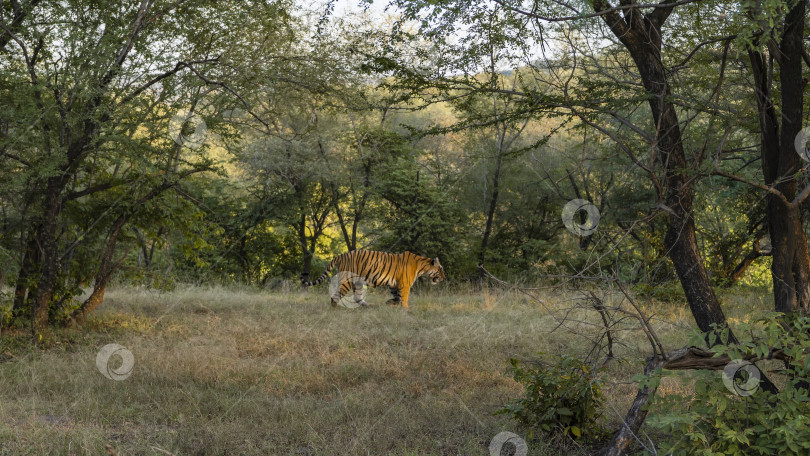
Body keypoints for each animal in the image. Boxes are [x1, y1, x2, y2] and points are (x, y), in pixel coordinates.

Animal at [300, 249, 446, 310]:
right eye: (441, 269)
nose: (444, 278)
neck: (422, 266)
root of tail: (340, 255)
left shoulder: (394, 284)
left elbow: (396, 296)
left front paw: (390, 303)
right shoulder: (404, 284)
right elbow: (404, 297)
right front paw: (406, 309)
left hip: (358, 282)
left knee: (357, 297)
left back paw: (369, 306)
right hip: (347, 280)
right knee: (336, 295)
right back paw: (335, 308)